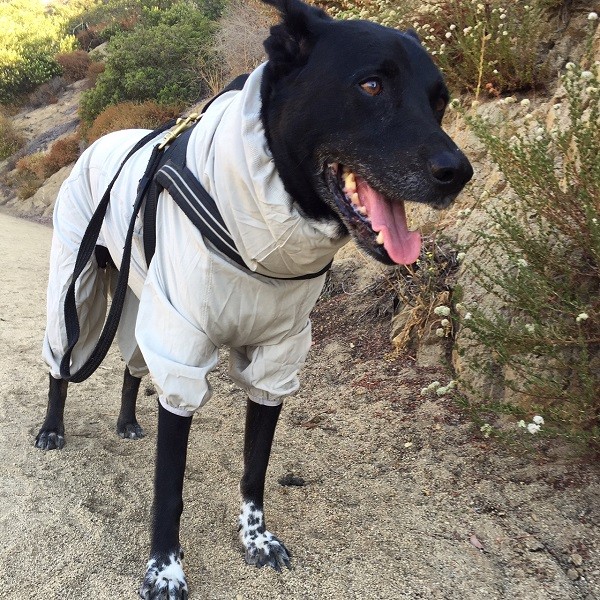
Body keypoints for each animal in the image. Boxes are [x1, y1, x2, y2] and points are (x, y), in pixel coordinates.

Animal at [35, 0, 474, 596]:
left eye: (440, 101)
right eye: (372, 84)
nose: (459, 172)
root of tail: (100, 140)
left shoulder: (275, 363)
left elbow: (255, 470)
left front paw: (256, 539)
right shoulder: (185, 350)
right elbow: (169, 488)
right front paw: (165, 568)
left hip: (142, 302)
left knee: (131, 364)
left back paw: (126, 422)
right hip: (76, 288)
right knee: (63, 361)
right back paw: (51, 429)